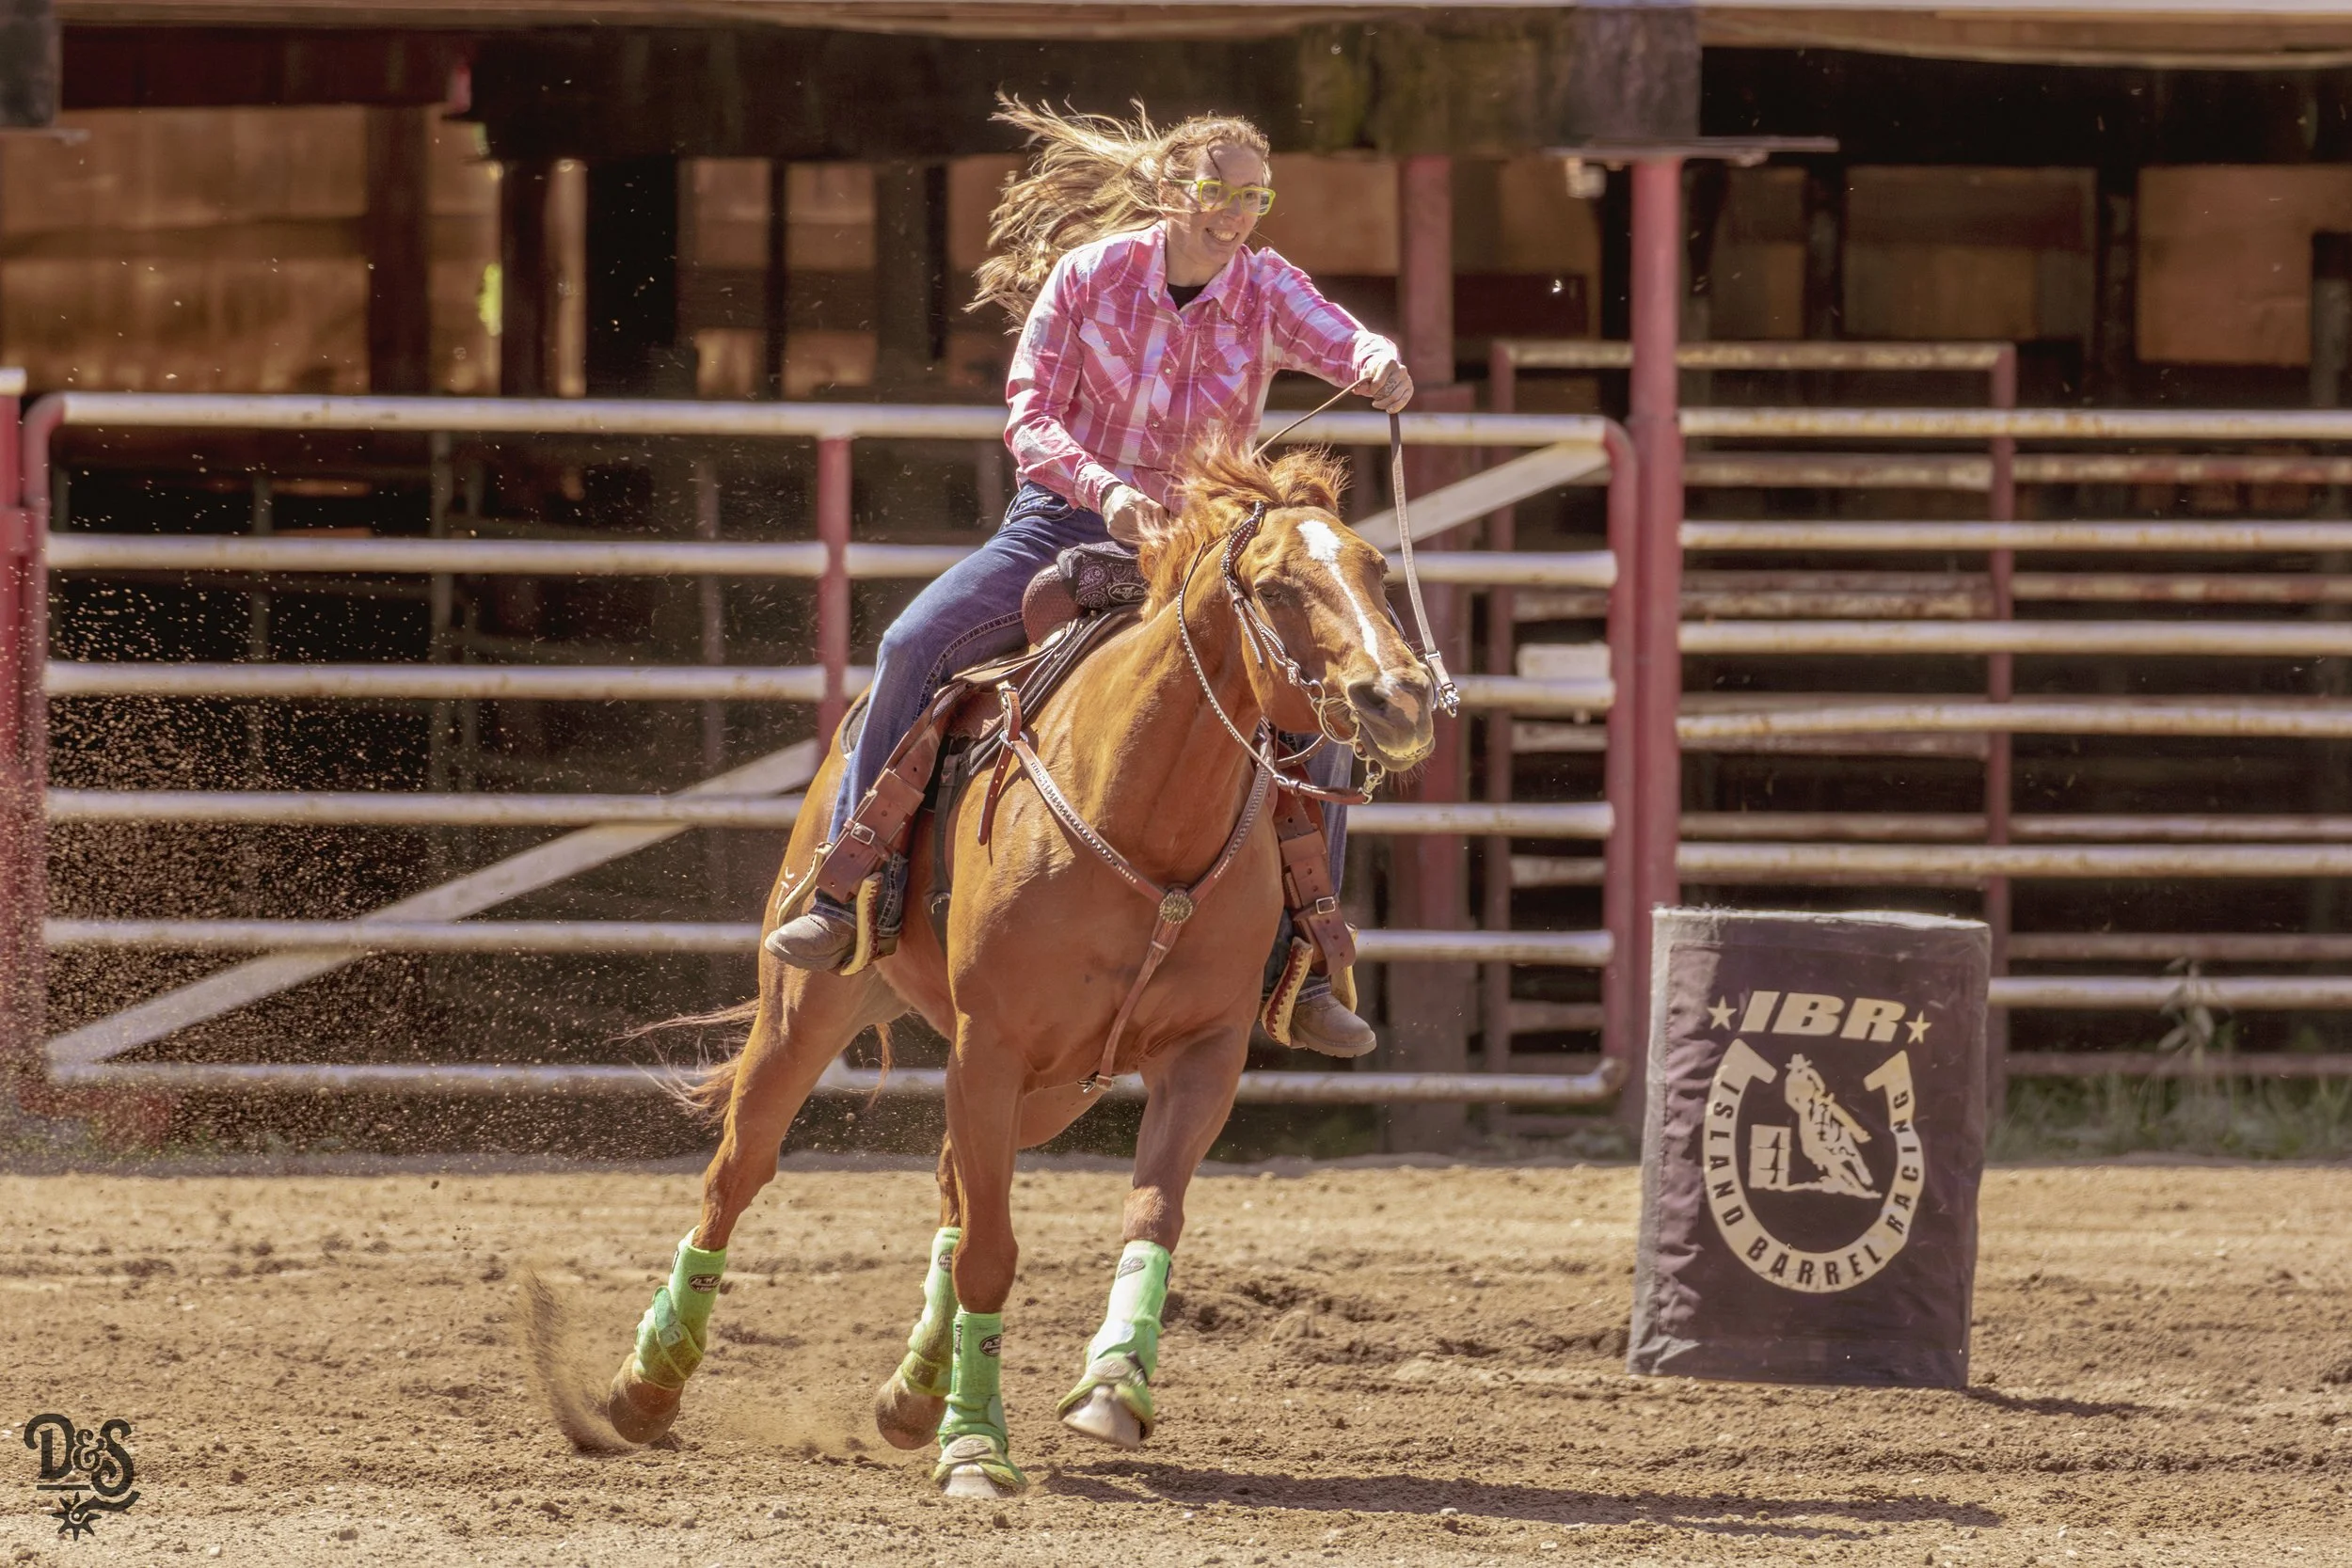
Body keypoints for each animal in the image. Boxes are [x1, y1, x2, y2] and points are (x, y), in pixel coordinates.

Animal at [589, 443, 1436, 1499]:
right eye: (1277, 584)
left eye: (1374, 566)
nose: (1398, 698)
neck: (1141, 813)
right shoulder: (987, 1047)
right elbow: (992, 1253)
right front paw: (975, 1445)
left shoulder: (1202, 1055)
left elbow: (1150, 1213)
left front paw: (1112, 1381)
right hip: (811, 1009)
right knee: (739, 1171)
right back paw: (649, 1379)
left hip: (1061, 1084)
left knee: (954, 1184)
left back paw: (914, 1389)